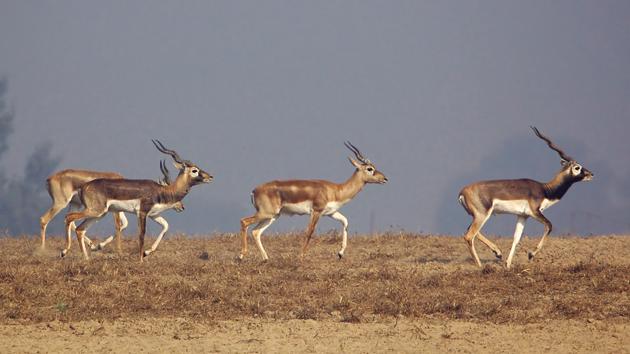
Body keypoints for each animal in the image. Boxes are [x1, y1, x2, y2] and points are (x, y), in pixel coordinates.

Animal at [64, 140, 212, 260]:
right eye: (194, 170)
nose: (210, 177)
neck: (162, 191)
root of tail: (84, 187)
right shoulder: (142, 213)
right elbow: (141, 235)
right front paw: (141, 259)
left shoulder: (153, 214)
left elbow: (165, 226)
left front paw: (146, 253)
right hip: (96, 211)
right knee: (69, 217)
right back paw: (64, 252)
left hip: (100, 214)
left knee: (80, 229)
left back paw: (86, 259)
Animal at [239, 142, 388, 262]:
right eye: (369, 168)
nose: (385, 179)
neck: (336, 190)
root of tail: (254, 190)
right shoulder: (316, 211)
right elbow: (310, 231)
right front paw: (301, 256)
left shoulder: (330, 213)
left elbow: (345, 222)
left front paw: (340, 253)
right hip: (266, 213)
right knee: (244, 221)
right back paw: (241, 256)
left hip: (273, 216)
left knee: (256, 232)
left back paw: (265, 258)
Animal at [460, 127, 592, 268]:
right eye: (577, 167)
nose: (591, 174)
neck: (545, 189)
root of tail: (462, 192)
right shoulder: (535, 212)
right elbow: (549, 226)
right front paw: (530, 255)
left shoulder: (523, 216)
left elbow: (516, 238)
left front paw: (508, 264)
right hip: (482, 215)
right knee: (469, 236)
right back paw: (480, 265)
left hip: (478, 216)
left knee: (471, 231)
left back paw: (498, 253)